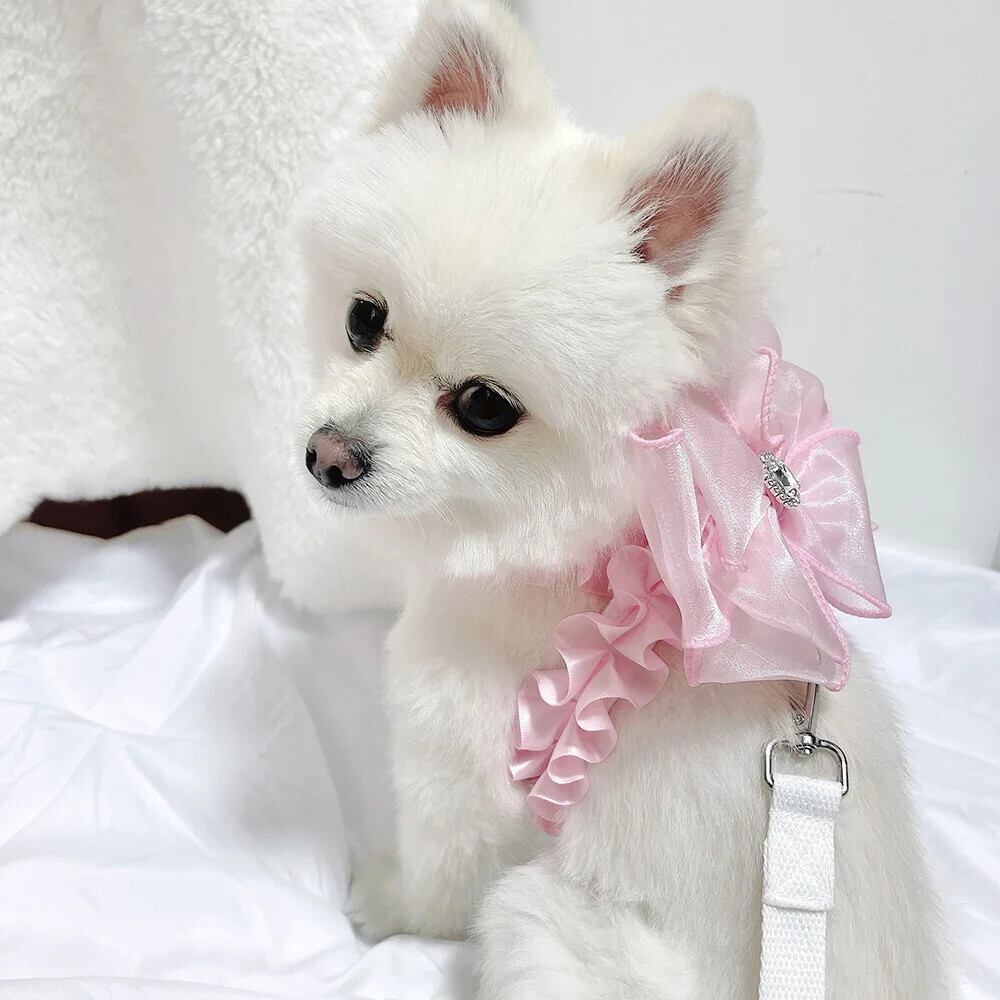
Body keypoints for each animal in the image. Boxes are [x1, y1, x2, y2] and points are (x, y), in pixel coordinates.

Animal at [298, 1, 953, 996]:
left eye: (484, 408)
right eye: (363, 320)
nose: (329, 456)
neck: (586, 562)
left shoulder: (454, 739)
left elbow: (442, 866)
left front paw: (391, 904)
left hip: (535, 917)